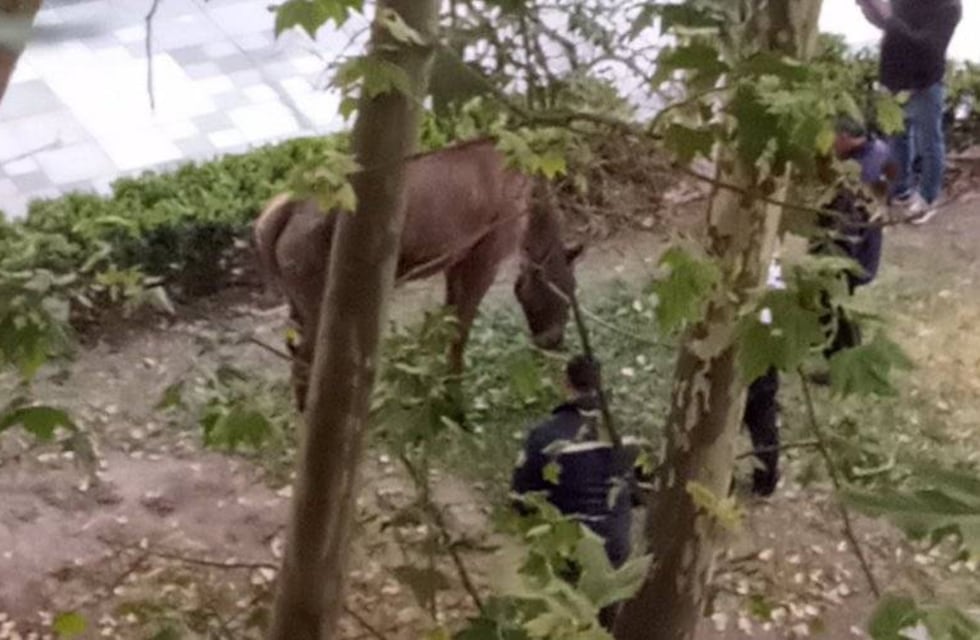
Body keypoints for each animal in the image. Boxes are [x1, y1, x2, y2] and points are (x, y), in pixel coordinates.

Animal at [253, 138, 584, 412]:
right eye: (565, 289)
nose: (554, 340)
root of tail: (276, 214)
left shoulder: (455, 259)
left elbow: (446, 321)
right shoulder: (484, 255)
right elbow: (460, 330)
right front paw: (456, 402)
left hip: (298, 299)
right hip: (318, 297)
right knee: (306, 359)